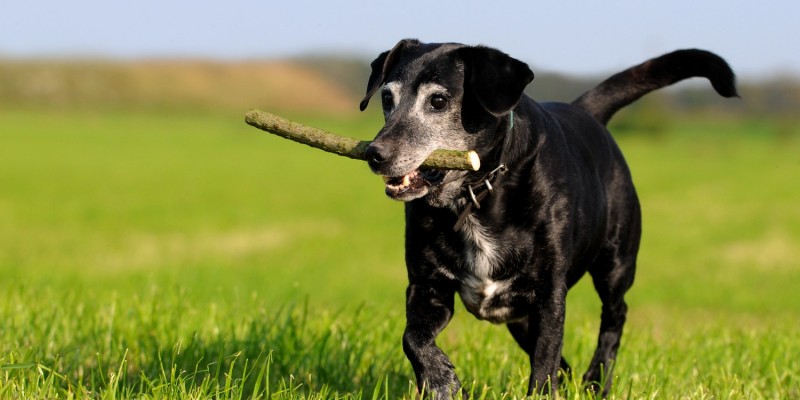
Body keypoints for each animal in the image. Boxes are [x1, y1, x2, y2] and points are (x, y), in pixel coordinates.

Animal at [358, 39, 736, 398]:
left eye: (437, 101)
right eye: (387, 98)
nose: (375, 154)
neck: (477, 194)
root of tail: (585, 111)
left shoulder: (549, 294)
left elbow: (544, 363)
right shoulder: (426, 285)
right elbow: (413, 338)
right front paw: (443, 382)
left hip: (615, 263)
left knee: (614, 318)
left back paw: (596, 381)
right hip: (520, 317)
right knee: (563, 361)